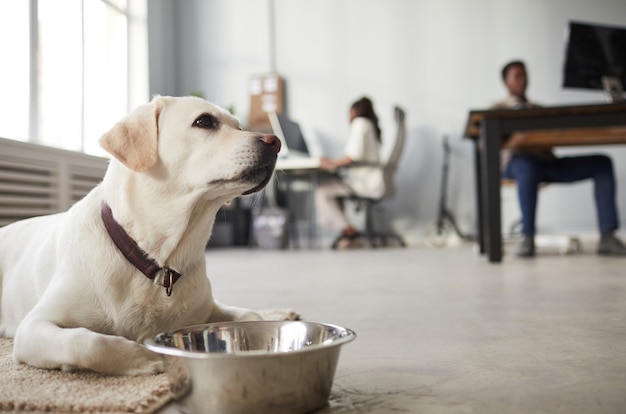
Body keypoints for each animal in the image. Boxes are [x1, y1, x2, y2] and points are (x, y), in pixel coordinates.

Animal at [0, 96, 296, 376]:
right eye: (204, 121)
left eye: (239, 126)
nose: (275, 142)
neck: (157, 262)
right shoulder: (34, 326)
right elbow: (87, 342)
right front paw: (144, 358)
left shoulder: (208, 307)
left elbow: (252, 315)